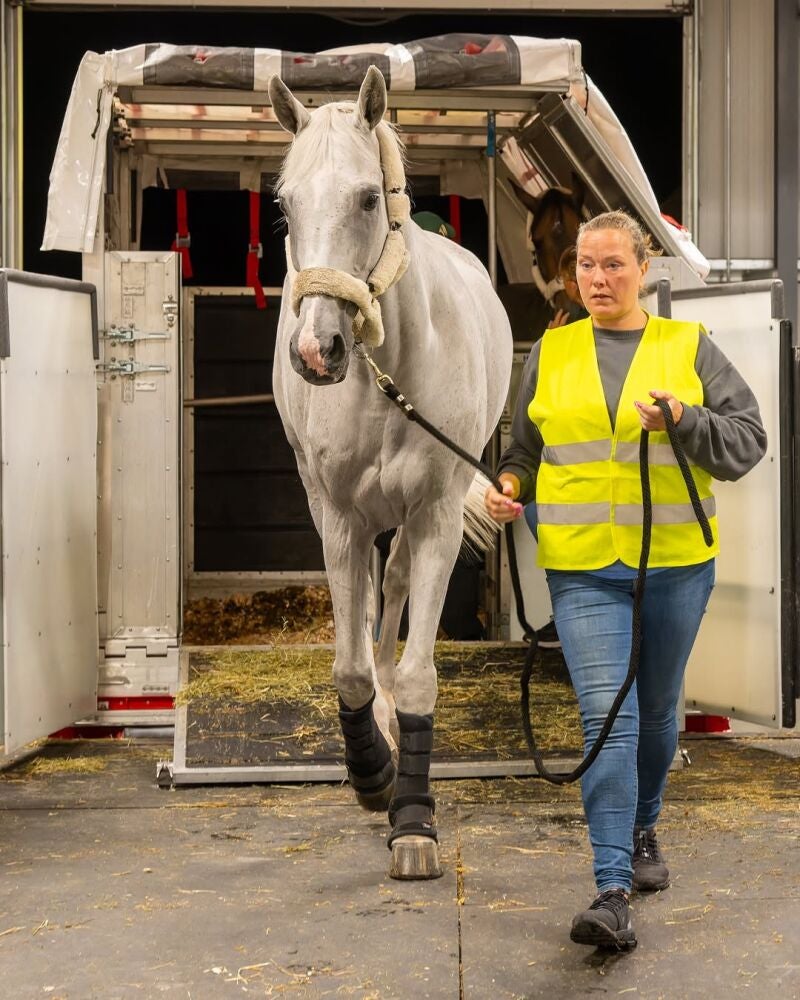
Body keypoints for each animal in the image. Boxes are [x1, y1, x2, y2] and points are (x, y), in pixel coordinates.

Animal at [268, 70, 512, 880]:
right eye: (284, 204)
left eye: (369, 197)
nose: (318, 351)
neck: (388, 372)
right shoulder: (340, 519)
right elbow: (348, 668)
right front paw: (371, 773)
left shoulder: (434, 515)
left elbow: (416, 672)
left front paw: (413, 822)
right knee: (374, 600)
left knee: (398, 585)